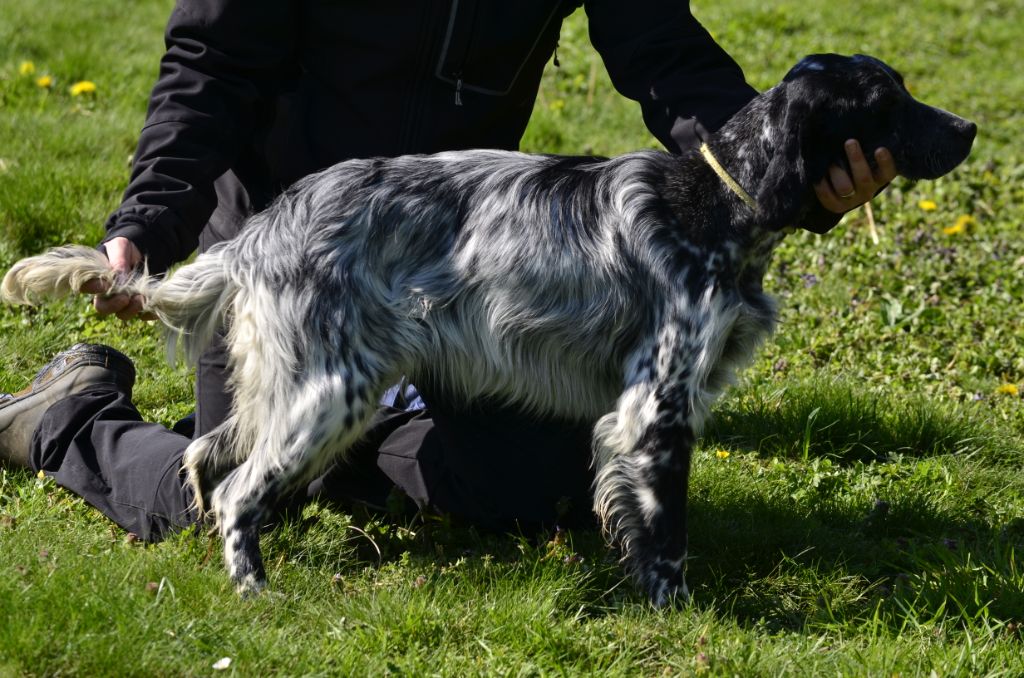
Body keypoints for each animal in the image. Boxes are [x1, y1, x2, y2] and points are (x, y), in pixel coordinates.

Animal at [2, 51, 974, 606]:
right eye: (887, 99)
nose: (968, 126)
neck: (719, 204)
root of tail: (260, 231)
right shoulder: (655, 410)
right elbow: (666, 536)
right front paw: (680, 612)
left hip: (283, 388)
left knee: (205, 459)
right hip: (332, 394)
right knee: (240, 489)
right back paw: (256, 592)